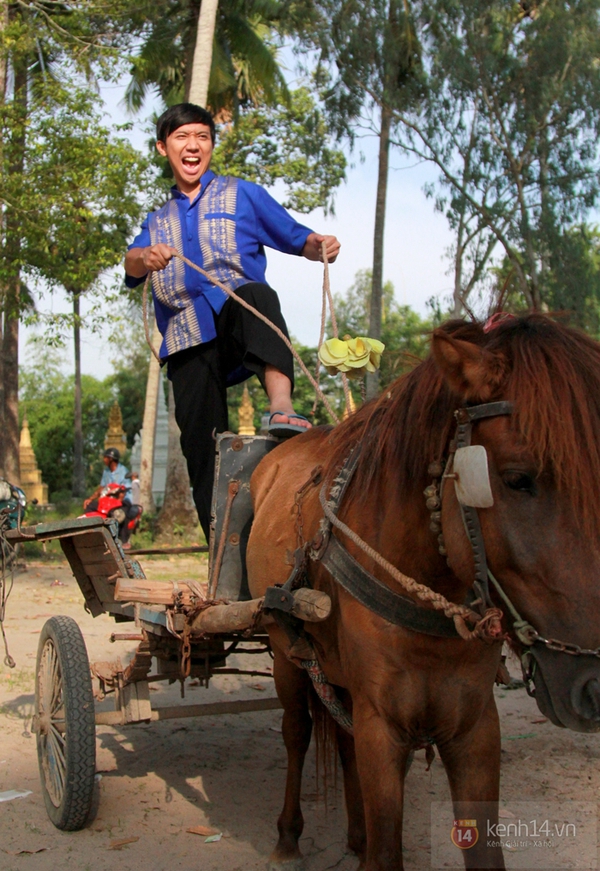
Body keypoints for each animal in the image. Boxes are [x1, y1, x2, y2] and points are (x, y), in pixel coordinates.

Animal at [246, 316, 600, 871]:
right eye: (518, 479)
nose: (595, 688)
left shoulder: (476, 726)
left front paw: (365, 837)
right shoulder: (382, 726)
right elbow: (386, 851)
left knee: (340, 740)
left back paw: (356, 833)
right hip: (285, 651)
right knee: (296, 731)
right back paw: (288, 835)